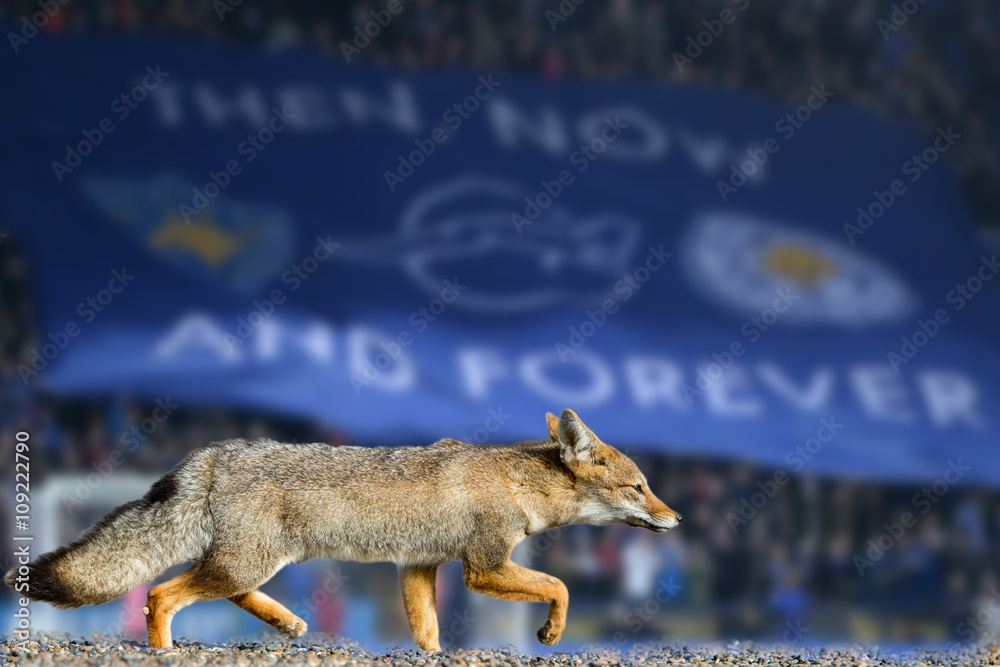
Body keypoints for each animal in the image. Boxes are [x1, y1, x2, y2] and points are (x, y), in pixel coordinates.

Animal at [4, 408, 682, 651]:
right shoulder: (484, 567)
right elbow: (560, 587)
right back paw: (165, 650)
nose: (676, 519)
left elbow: (429, 635)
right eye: (639, 487)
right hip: (246, 561)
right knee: (160, 595)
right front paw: (551, 632)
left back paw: (286, 624)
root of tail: (213, 452)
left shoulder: (419, 568)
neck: (517, 481)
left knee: (222, 592)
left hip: (256, 560)